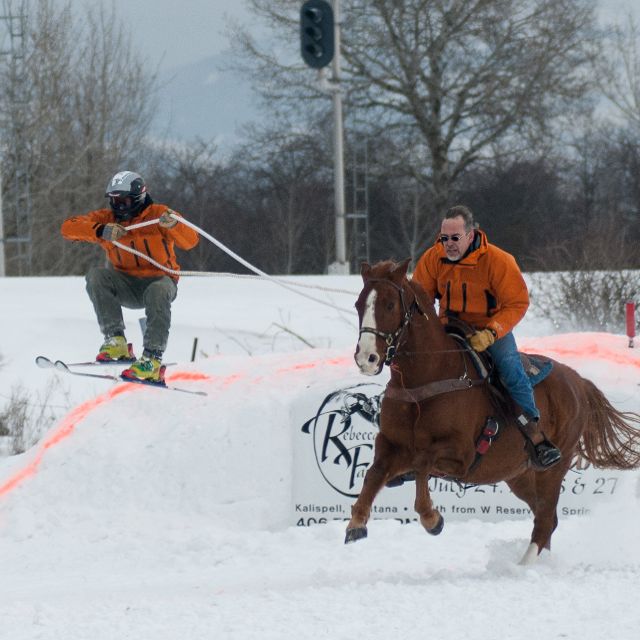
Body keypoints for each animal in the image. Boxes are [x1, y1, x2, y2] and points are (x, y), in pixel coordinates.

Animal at [348, 258, 640, 564]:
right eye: (358, 304)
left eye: (390, 304)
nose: (366, 358)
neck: (426, 380)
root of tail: (578, 382)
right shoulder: (390, 445)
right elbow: (374, 473)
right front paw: (356, 523)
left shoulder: (460, 455)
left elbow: (422, 464)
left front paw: (432, 519)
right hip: (519, 474)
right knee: (546, 517)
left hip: (554, 466)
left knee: (545, 518)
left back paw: (523, 566)